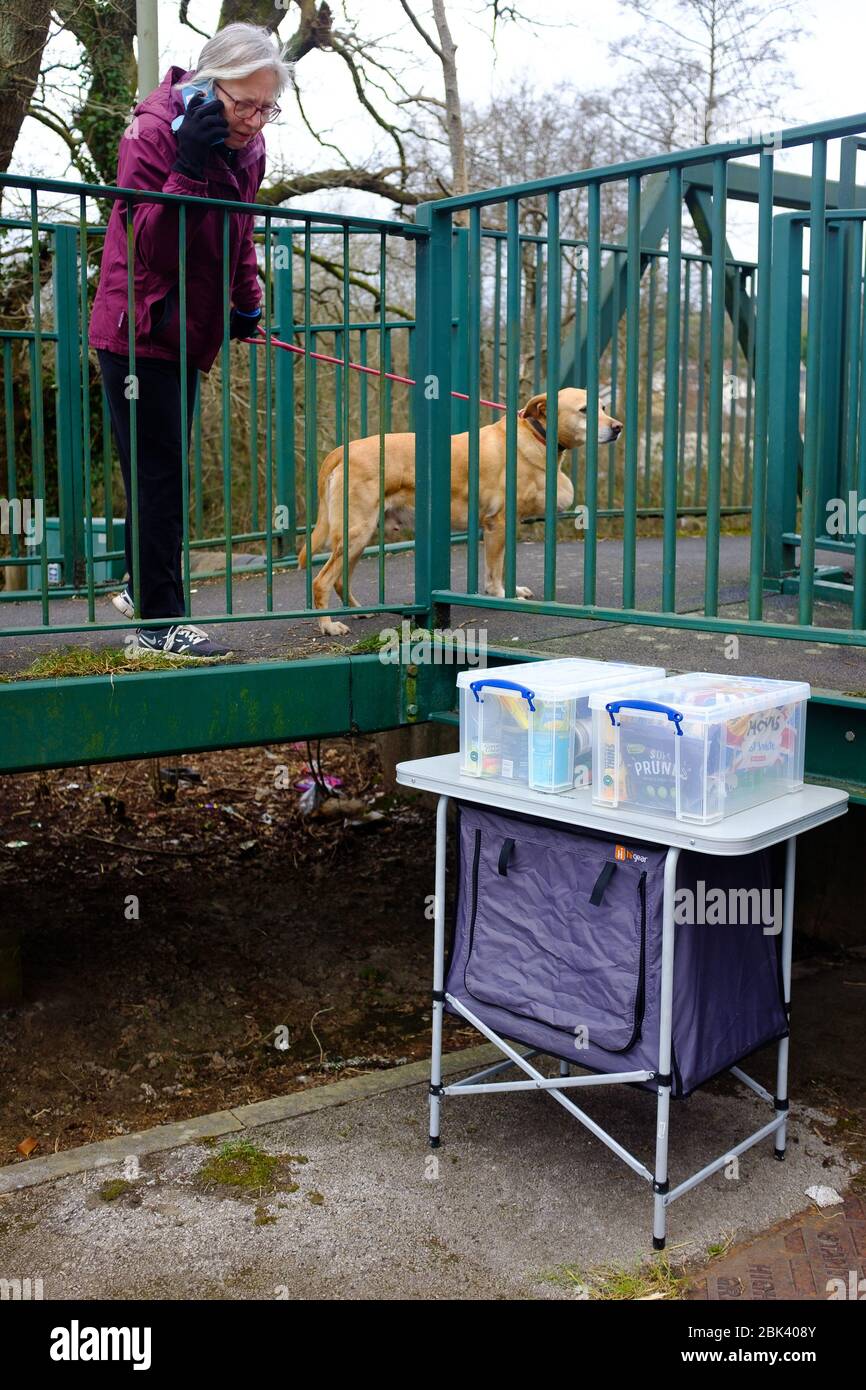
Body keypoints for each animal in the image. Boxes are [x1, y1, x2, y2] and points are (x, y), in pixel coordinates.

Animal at [297, 386, 622, 636]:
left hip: (358, 537)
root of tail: (343, 450)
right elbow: (494, 571)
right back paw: (328, 625)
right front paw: (500, 595)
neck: (534, 434)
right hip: (356, 532)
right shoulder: (497, 524)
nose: (617, 427)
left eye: (603, 407)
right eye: (584, 410)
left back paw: (358, 610)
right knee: (321, 581)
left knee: (340, 579)